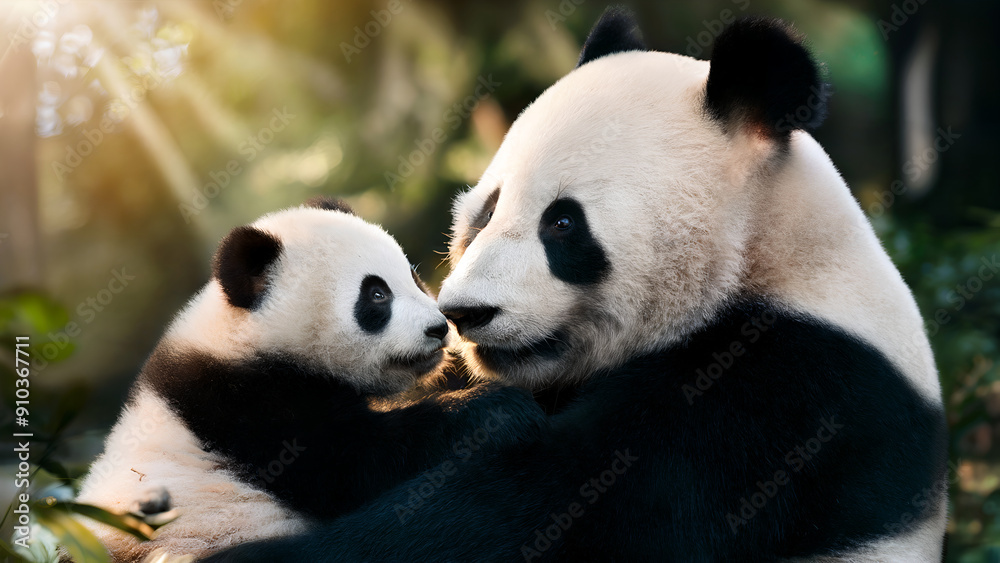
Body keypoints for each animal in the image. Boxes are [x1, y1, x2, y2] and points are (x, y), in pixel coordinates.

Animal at [72, 198, 545, 562]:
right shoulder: (247, 408)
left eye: (413, 277)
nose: (438, 328)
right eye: (376, 295)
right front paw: (495, 410)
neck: (244, 333)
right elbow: (353, 458)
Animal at [205, 9, 948, 563]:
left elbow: (548, 511)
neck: (766, 259)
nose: (464, 314)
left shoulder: (779, 400)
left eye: (563, 224)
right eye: (484, 212)